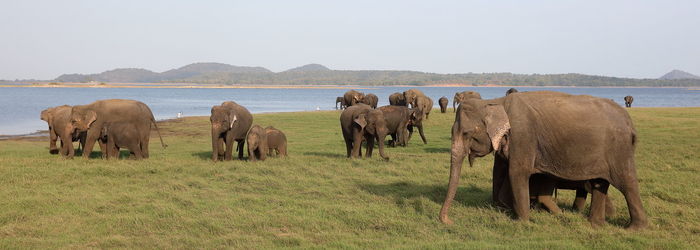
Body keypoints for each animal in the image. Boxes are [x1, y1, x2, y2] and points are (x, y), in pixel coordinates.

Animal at [440, 91, 648, 229]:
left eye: (466, 133)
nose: (449, 221)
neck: (497, 102)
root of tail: (630, 123)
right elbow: (499, 170)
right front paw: (505, 209)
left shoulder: (523, 135)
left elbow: (517, 172)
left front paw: (523, 221)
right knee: (599, 183)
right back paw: (595, 224)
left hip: (619, 150)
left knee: (627, 183)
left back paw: (635, 228)